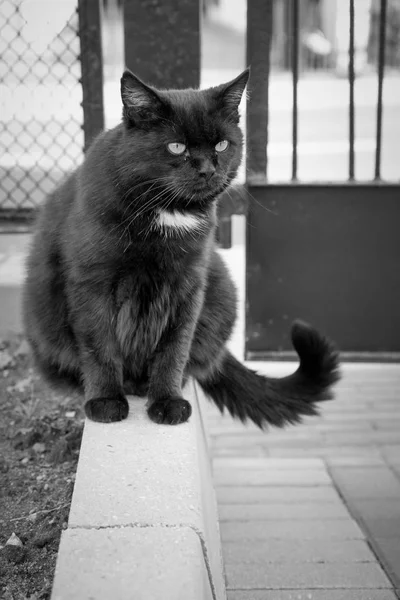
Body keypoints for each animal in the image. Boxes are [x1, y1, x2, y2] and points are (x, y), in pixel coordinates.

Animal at [23, 69, 340, 426]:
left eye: (222, 144)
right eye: (176, 147)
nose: (207, 169)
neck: (167, 212)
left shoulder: (189, 283)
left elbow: (175, 347)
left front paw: (167, 400)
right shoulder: (92, 282)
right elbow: (99, 345)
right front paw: (105, 400)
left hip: (221, 288)